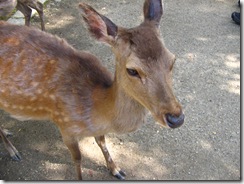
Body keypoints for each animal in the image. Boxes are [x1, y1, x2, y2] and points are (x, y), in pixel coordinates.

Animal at [0, 0, 184, 180]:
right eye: (132, 70)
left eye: (172, 60)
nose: (176, 118)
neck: (97, 108)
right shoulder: (64, 124)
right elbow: (77, 159)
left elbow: (102, 141)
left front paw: (116, 169)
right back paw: (13, 151)